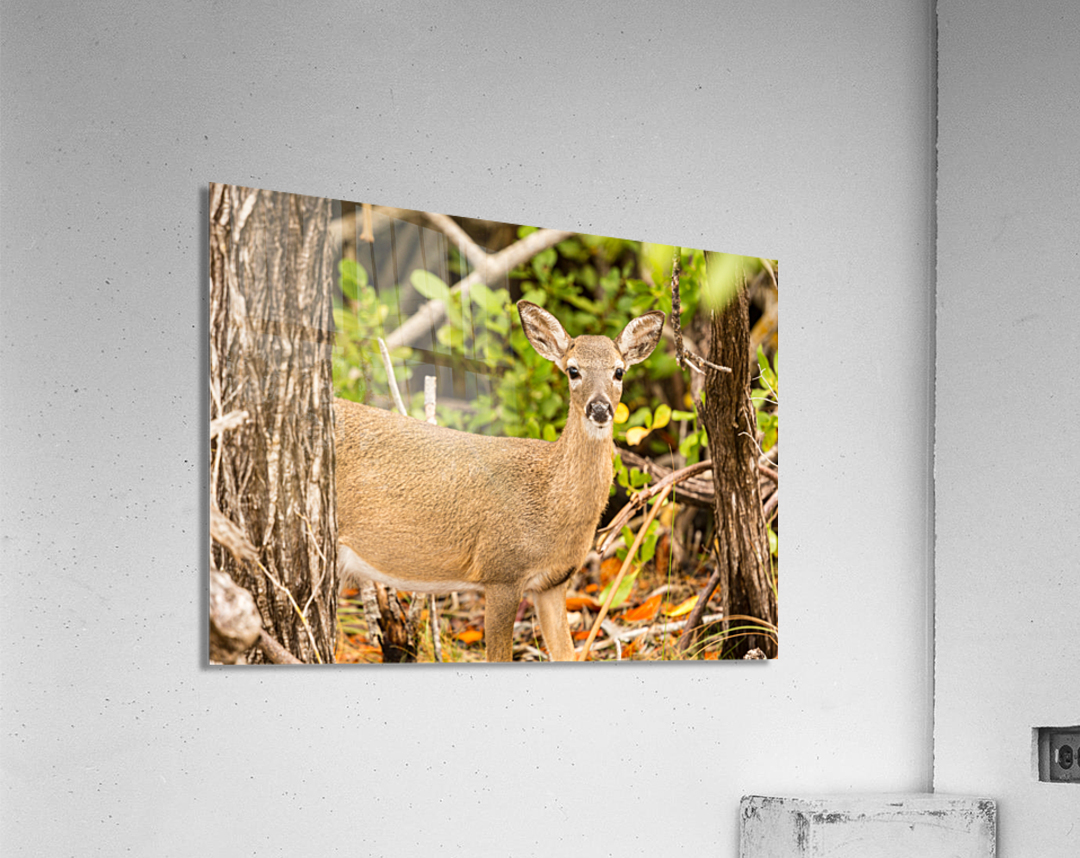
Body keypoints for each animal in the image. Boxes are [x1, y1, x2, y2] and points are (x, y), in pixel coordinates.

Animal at [334, 300, 665, 661]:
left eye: (619, 371)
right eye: (573, 370)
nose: (600, 408)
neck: (549, 501)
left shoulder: (552, 582)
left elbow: (567, 654)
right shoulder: (502, 573)